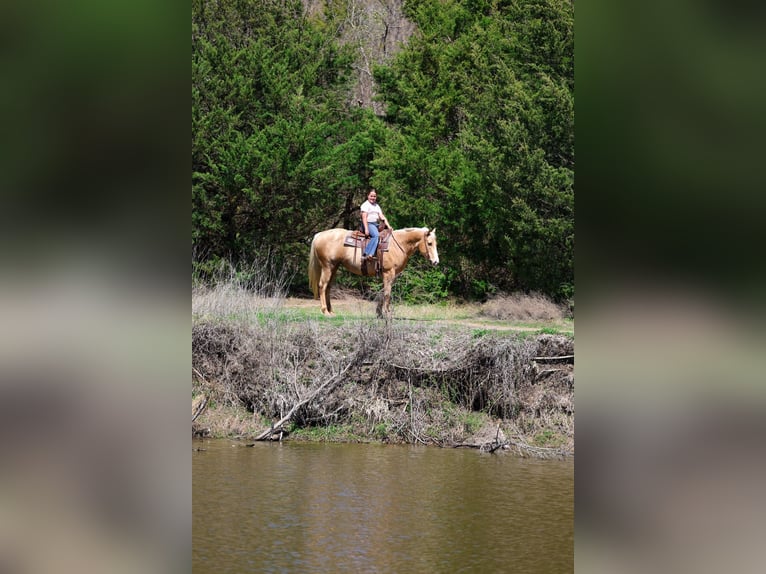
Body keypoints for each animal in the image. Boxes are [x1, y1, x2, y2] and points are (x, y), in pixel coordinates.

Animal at [308, 227, 439, 317]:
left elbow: (383, 291)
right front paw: (387, 312)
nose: (436, 262)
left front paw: (380, 313)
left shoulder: (390, 275)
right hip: (327, 267)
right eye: (429, 243)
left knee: (328, 287)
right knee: (322, 286)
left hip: (334, 267)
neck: (398, 244)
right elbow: (387, 293)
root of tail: (319, 235)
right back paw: (325, 311)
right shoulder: (388, 273)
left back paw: (331, 311)